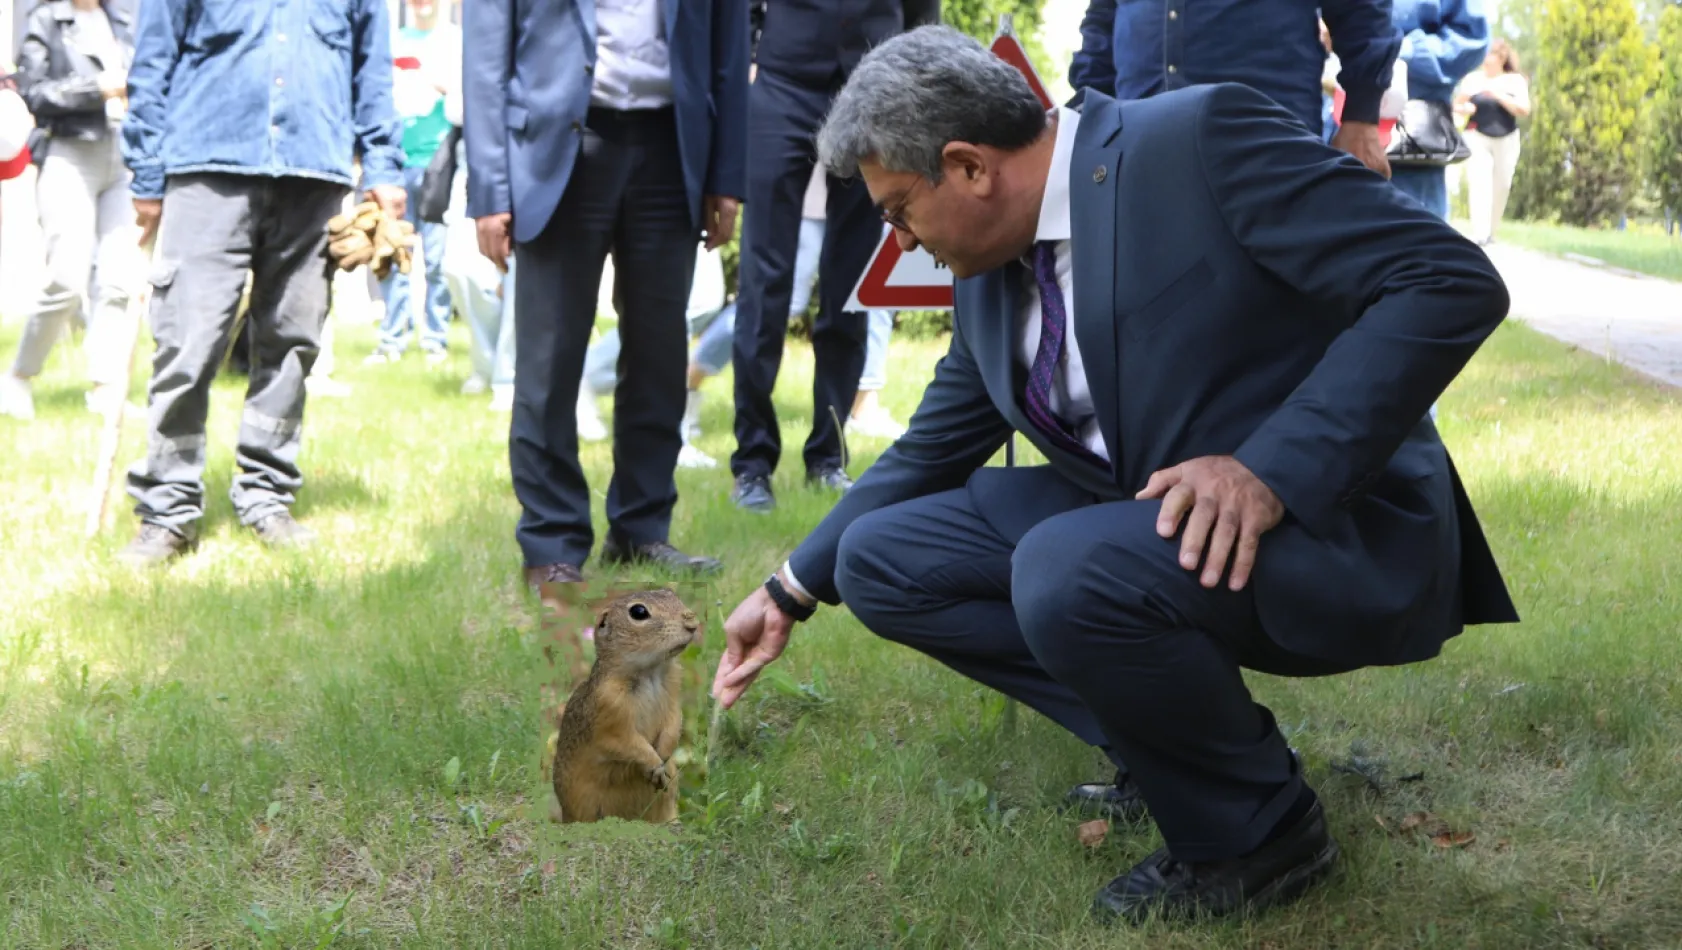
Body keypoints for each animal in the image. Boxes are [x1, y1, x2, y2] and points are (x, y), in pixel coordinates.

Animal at [551, 585, 696, 823]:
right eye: (638, 612)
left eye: (670, 593)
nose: (692, 622)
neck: (650, 672)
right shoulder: (609, 712)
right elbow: (625, 742)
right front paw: (655, 765)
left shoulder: (674, 695)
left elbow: (674, 723)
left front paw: (664, 755)